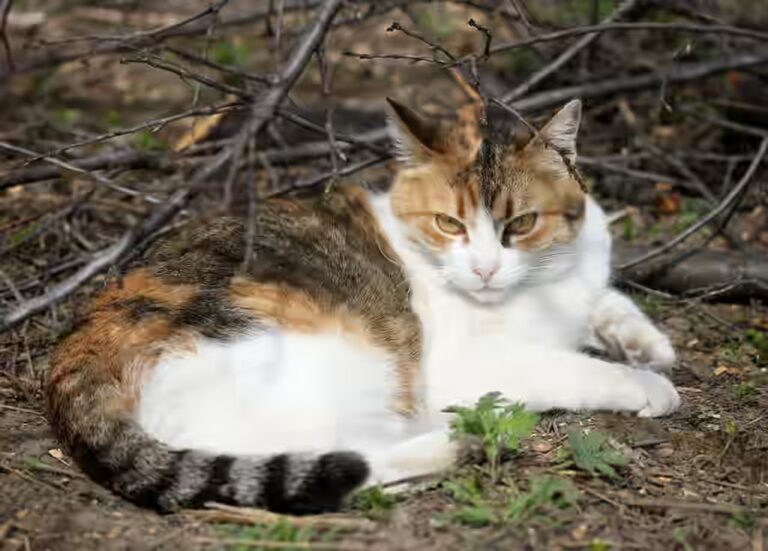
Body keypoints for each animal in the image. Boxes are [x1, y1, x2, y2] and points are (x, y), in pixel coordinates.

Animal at [43, 91, 680, 516]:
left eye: (520, 224)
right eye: (449, 224)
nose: (484, 269)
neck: (543, 281)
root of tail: (74, 356)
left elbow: (608, 301)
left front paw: (646, 344)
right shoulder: (469, 367)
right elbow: (569, 366)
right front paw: (643, 383)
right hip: (343, 363)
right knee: (330, 461)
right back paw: (452, 445)